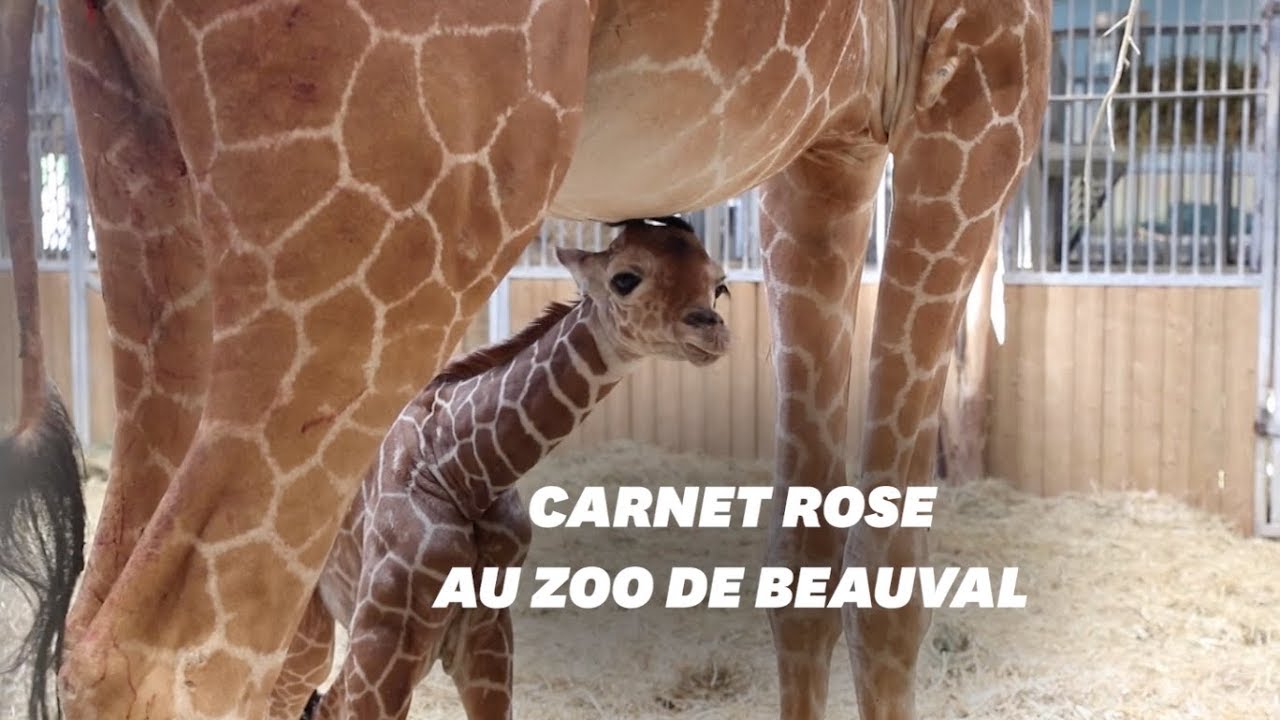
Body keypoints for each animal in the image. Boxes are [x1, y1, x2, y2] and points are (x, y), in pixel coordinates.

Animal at [266, 216, 730, 720]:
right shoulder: (384, 645)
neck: (463, 471)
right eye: (624, 278)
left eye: (719, 286)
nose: (713, 333)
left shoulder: (486, 638)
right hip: (307, 631)